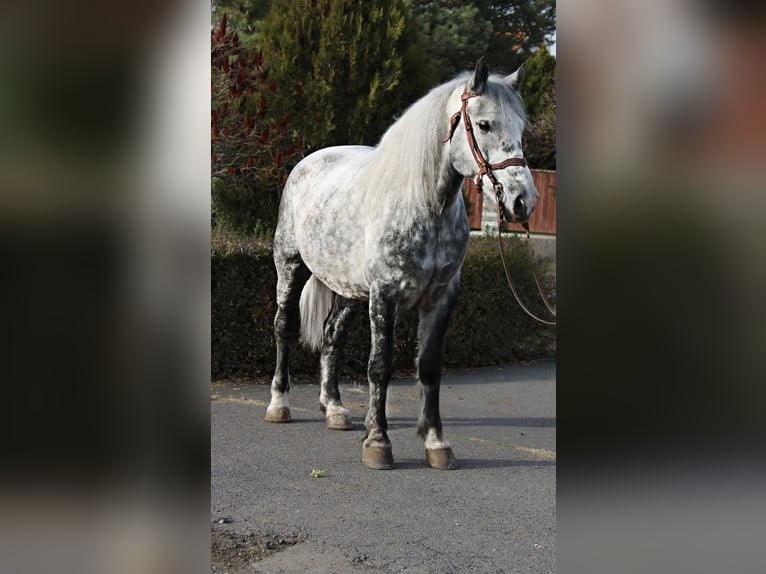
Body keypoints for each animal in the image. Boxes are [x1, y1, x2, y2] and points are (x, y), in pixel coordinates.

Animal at [265, 59, 538, 470]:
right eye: (485, 124)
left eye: (521, 129)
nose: (523, 201)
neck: (423, 205)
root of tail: (308, 163)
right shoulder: (385, 293)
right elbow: (380, 366)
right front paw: (378, 442)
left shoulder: (442, 297)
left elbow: (429, 367)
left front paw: (437, 444)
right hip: (290, 265)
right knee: (285, 326)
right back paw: (279, 404)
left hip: (348, 290)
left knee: (332, 336)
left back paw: (334, 409)